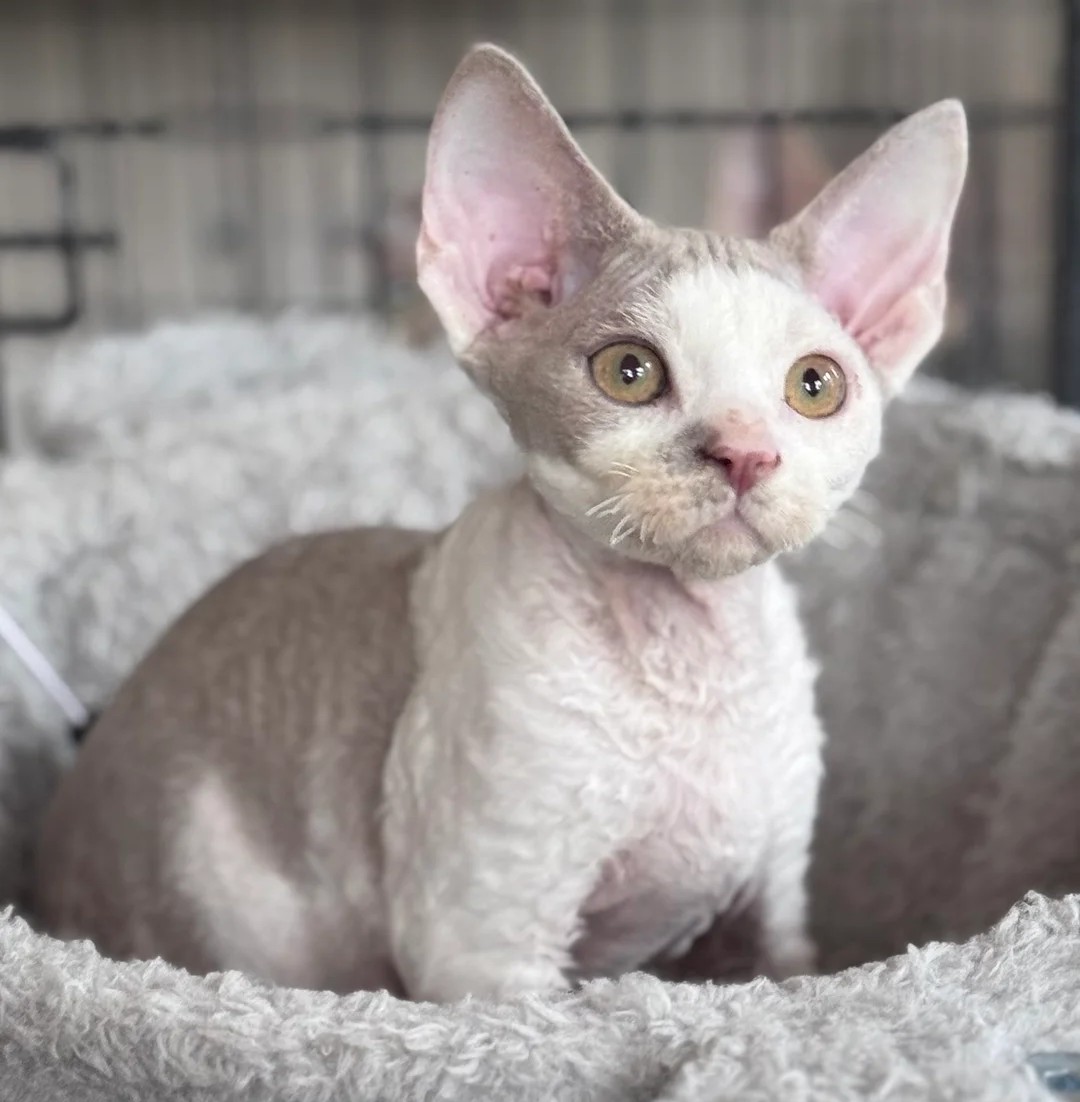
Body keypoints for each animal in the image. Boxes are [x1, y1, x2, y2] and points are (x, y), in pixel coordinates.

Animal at [32, 45, 967, 1002]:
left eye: (815, 386)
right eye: (628, 372)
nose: (744, 453)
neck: (686, 660)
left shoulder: (771, 907)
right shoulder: (484, 947)